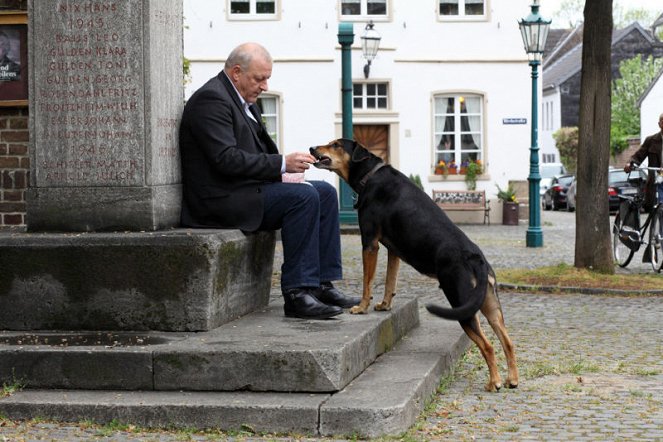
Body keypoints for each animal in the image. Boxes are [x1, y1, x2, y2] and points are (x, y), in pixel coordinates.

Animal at [312, 138, 520, 390]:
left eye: (336, 145)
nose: (312, 149)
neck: (370, 175)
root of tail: (477, 259)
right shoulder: (393, 250)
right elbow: (389, 281)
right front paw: (384, 305)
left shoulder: (370, 243)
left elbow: (367, 282)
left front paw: (361, 307)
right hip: (490, 306)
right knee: (507, 342)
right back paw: (512, 380)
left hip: (463, 305)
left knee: (488, 346)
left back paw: (494, 383)